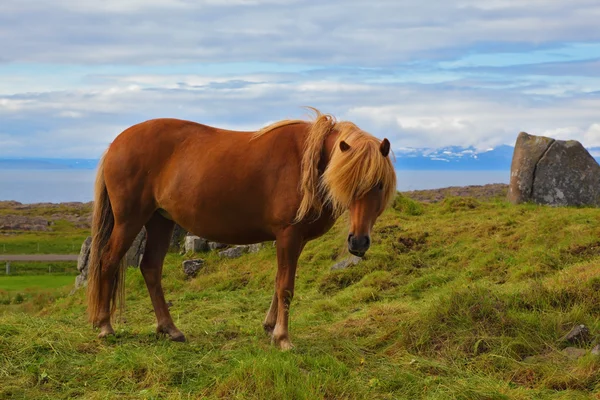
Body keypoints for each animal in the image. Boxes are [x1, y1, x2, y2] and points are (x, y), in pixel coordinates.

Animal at [88, 108, 398, 348]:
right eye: (349, 182)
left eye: (379, 185)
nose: (358, 243)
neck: (310, 162)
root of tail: (116, 143)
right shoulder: (288, 235)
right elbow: (286, 286)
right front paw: (283, 338)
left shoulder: (294, 240)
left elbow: (279, 281)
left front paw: (270, 326)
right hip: (129, 221)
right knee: (108, 261)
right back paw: (105, 326)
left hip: (160, 221)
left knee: (151, 268)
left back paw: (170, 329)